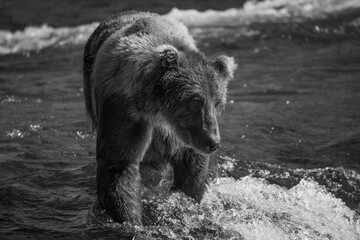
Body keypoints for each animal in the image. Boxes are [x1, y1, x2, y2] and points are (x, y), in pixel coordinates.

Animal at [82, 11, 236, 225]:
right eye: (195, 100)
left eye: (218, 101)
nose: (213, 142)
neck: (159, 110)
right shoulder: (125, 111)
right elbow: (119, 165)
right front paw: (132, 220)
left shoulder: (184, 135)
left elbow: (192, 168)